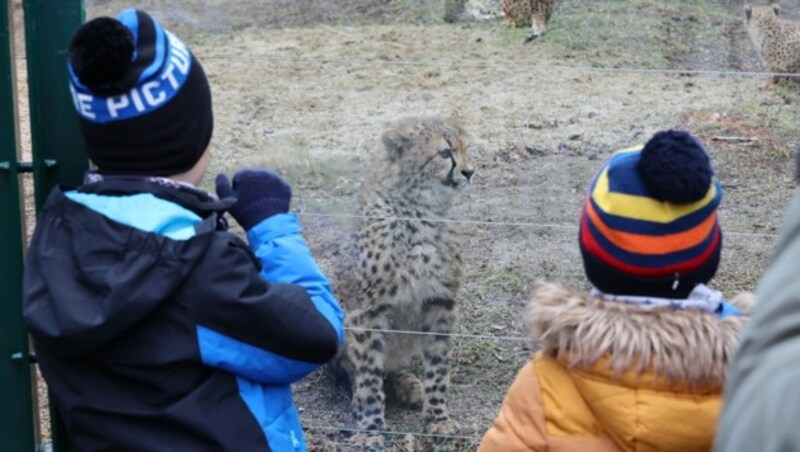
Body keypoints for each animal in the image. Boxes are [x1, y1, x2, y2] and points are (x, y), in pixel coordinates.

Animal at [326, 116, 472, 448]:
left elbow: (437, 365)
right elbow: (367, 371)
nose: (469, 171)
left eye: (465, 148)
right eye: (445, 153)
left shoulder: (440, 300)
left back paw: (410, 385)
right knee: (347, 367)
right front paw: (370, 429)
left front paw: (438, 419)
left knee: (394, 366)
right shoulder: (368, 308)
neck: (420, 211)